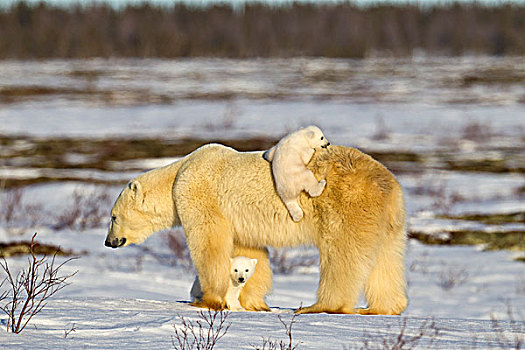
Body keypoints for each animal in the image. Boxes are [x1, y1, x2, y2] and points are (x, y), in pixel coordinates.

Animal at [104, 143, 408, 314]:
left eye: (112, 217)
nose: (109, 242)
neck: (178, 174)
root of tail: (388, 182)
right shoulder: (239, 219)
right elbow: (250, 251)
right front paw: (252, 301)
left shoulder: (199, 195)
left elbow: (209, 242)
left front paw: (205, 298)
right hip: (389, 218)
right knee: (386, 258)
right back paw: (383, 308)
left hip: (346, 203)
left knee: (342, 255)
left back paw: (319, 307)